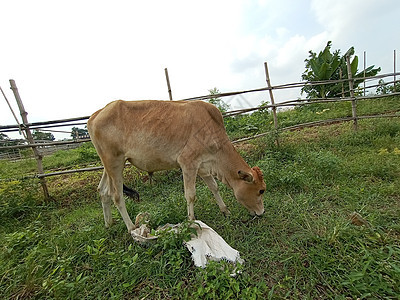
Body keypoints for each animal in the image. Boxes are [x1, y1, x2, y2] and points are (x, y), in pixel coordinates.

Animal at [89, 99, 268, 233]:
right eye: (261, 190)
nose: (261, 213)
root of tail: (96, 115)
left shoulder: (203, 166)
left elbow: (214, 187)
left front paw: (225, 210)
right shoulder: (188, 163)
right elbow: (191, 195)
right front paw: (191, 220)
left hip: (109, 165)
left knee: (103, 191)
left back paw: (109, 224)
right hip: (115, 162)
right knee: (116, 195)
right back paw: (131, 227)